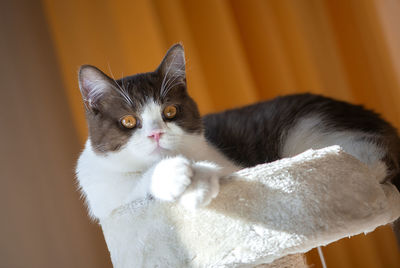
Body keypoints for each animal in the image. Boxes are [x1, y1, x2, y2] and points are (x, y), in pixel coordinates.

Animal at [76, 43, 400, 266]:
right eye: (129, 121)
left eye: (169, 112)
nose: (155, 133)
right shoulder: (107, 198)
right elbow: (133, 186)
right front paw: (180, 178)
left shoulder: (228, 162)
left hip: (312, 129)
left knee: (369, 162)